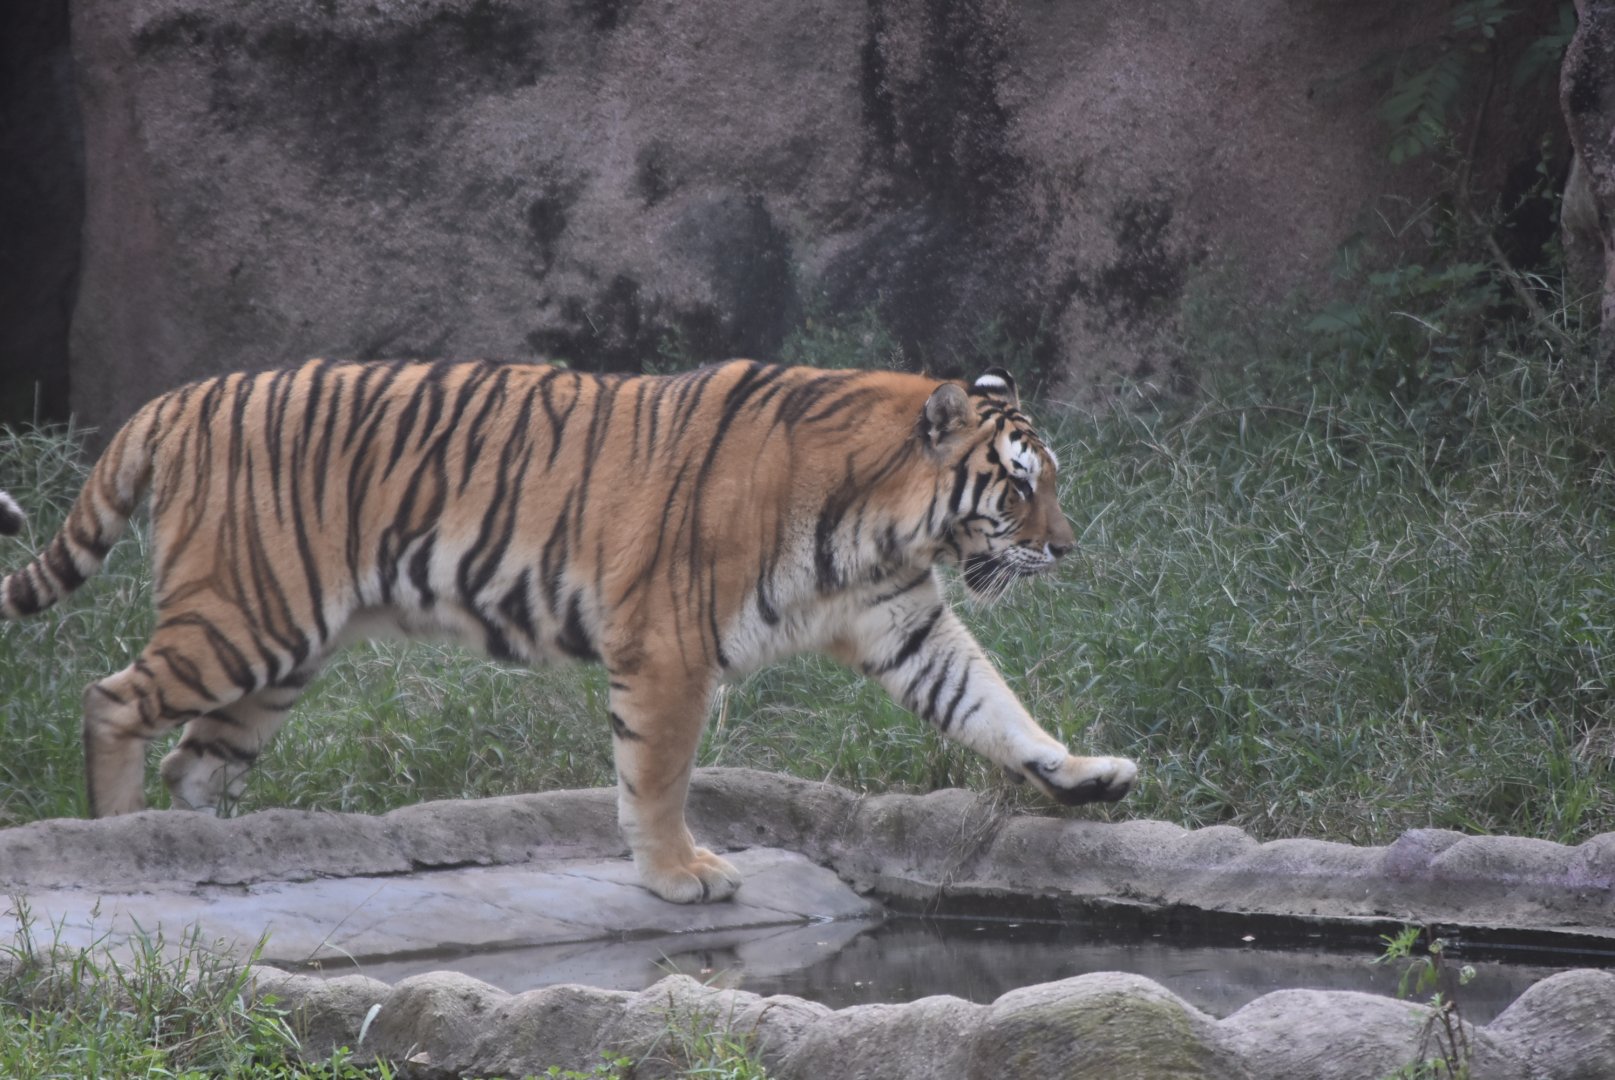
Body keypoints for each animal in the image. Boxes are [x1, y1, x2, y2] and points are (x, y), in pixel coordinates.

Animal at [0, 359, 1138, 903]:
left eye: (1047, 484)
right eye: (1019, 489)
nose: (1069, 547)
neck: (882, 525)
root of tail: (178, 396)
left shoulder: (905, 623)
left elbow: (993, 706)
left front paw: (1086, 776)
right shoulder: (671, 646)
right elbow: (658, 774)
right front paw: (681, 874)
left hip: (281, 659)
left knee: (195, 760)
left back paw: (197, 846)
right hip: (246, 620)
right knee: (112, 700)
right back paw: (114, 843)